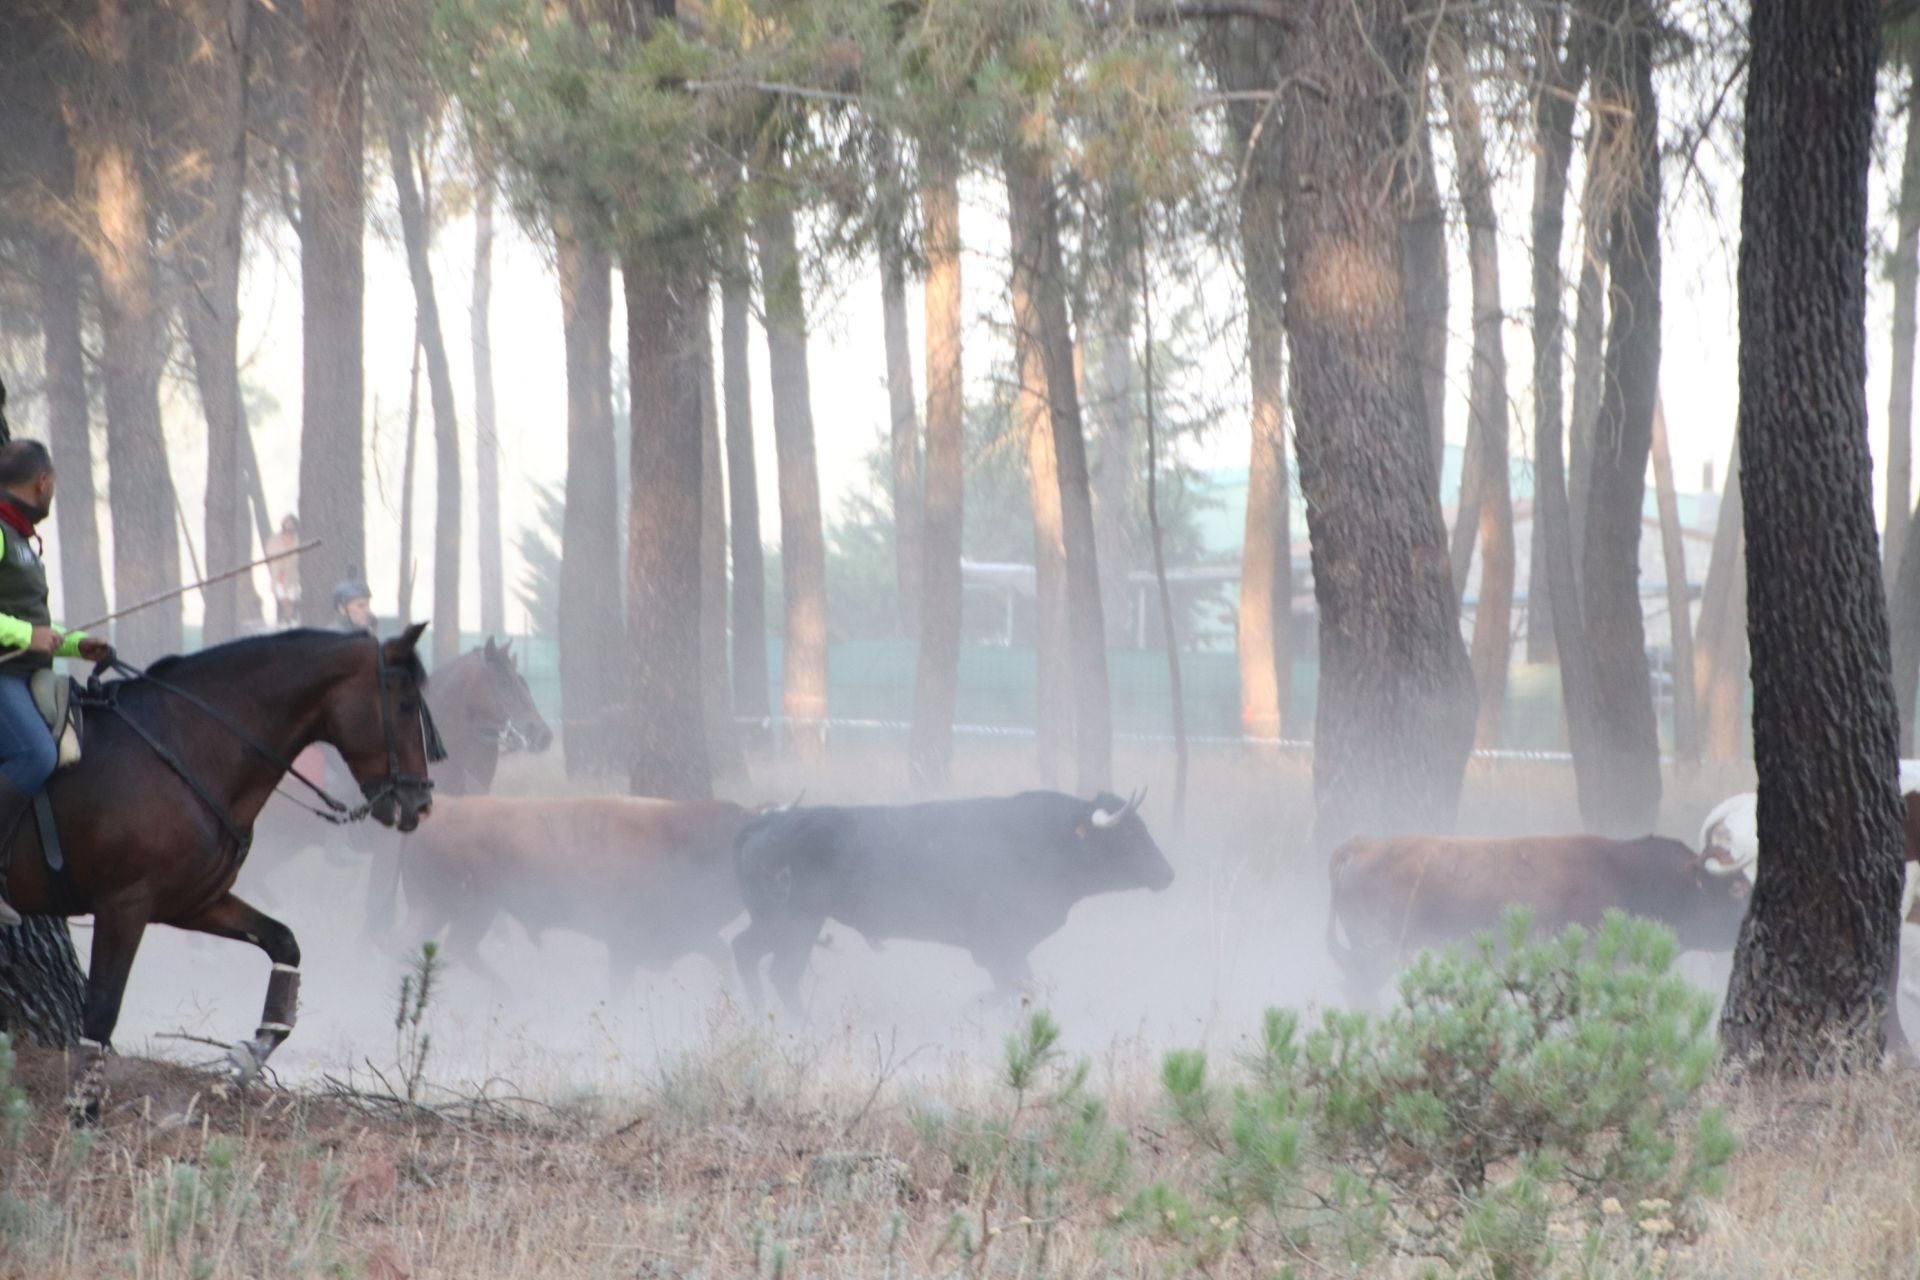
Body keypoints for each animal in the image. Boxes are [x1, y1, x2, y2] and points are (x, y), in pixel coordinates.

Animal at [0, 625, 439, 1113]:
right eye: (405, 703)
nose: (420, 803)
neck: (183, 745)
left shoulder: (192, 903)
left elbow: (283, 944)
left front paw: (250, 1056)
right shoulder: (123, 906)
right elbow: (102, 1007)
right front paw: (83, 1109)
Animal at [395, 794, 748, 997]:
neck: (680, 840)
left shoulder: (685, 935)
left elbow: (721, 953)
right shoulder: (625, 945)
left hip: (434, 909)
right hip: (474, 909)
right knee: (458, 945)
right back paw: (511, 995)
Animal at [729, 786, 1167, 1013]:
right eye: (1129, 833)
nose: (1167, 873)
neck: (1046, 839)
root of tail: (766, 822)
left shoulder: (1012, 949)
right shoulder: (998, 947)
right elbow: (1008, 989)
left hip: (779, 925)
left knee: (746, 952)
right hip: (795, 924)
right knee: (780, 972)